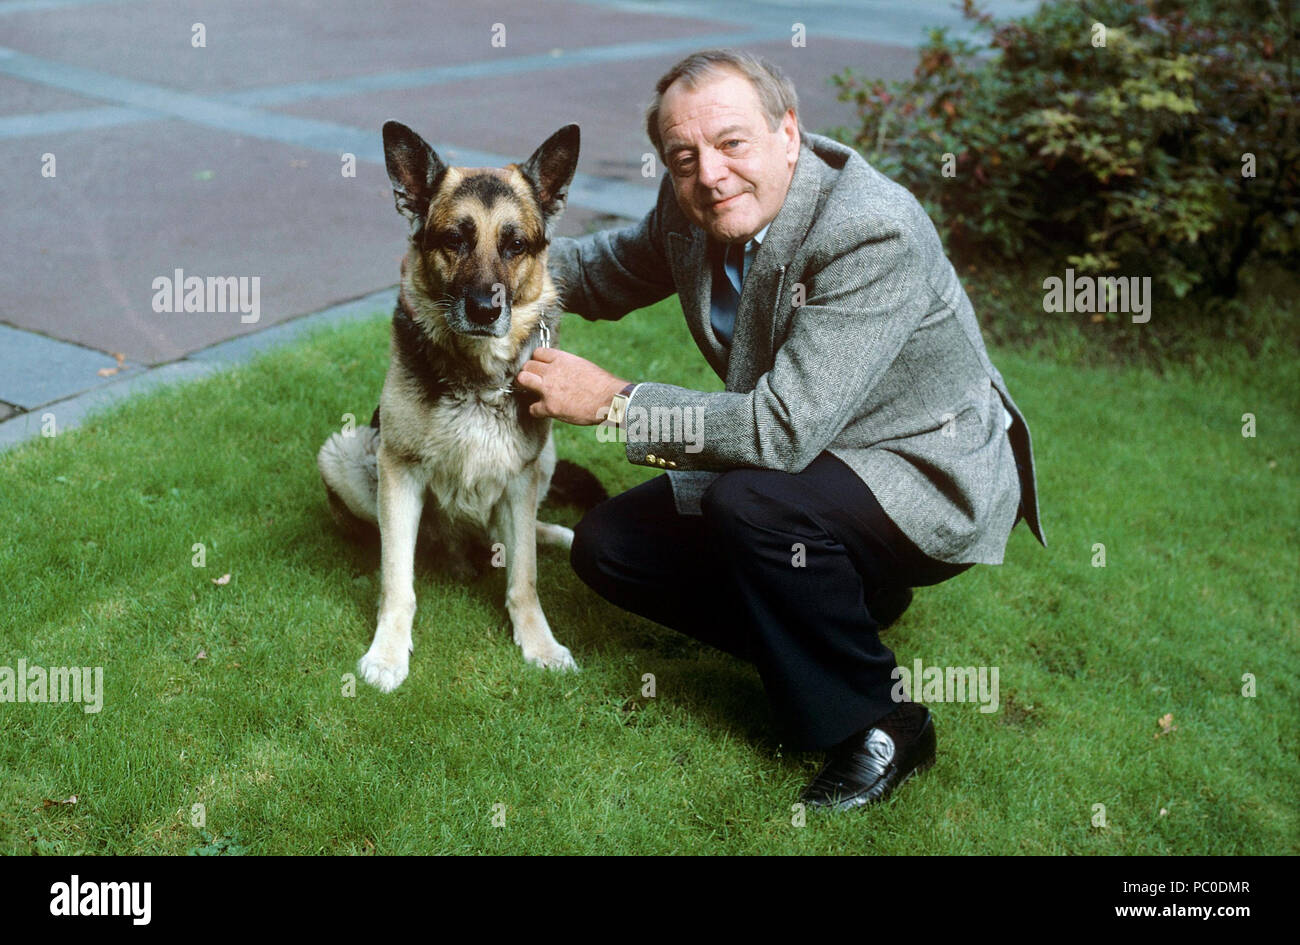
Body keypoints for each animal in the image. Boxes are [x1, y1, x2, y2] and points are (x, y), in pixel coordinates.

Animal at [319, 122, 590, 691]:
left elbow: (525, 579)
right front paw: (388, 653)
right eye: (453, 240)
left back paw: (553, 533)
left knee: (521, 534)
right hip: (343, 452)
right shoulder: (399, 472)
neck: (477, 377)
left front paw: (539, 644)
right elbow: (397, 581)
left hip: (544, 461)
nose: (485, 309)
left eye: (515, 245)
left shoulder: (520, 478)